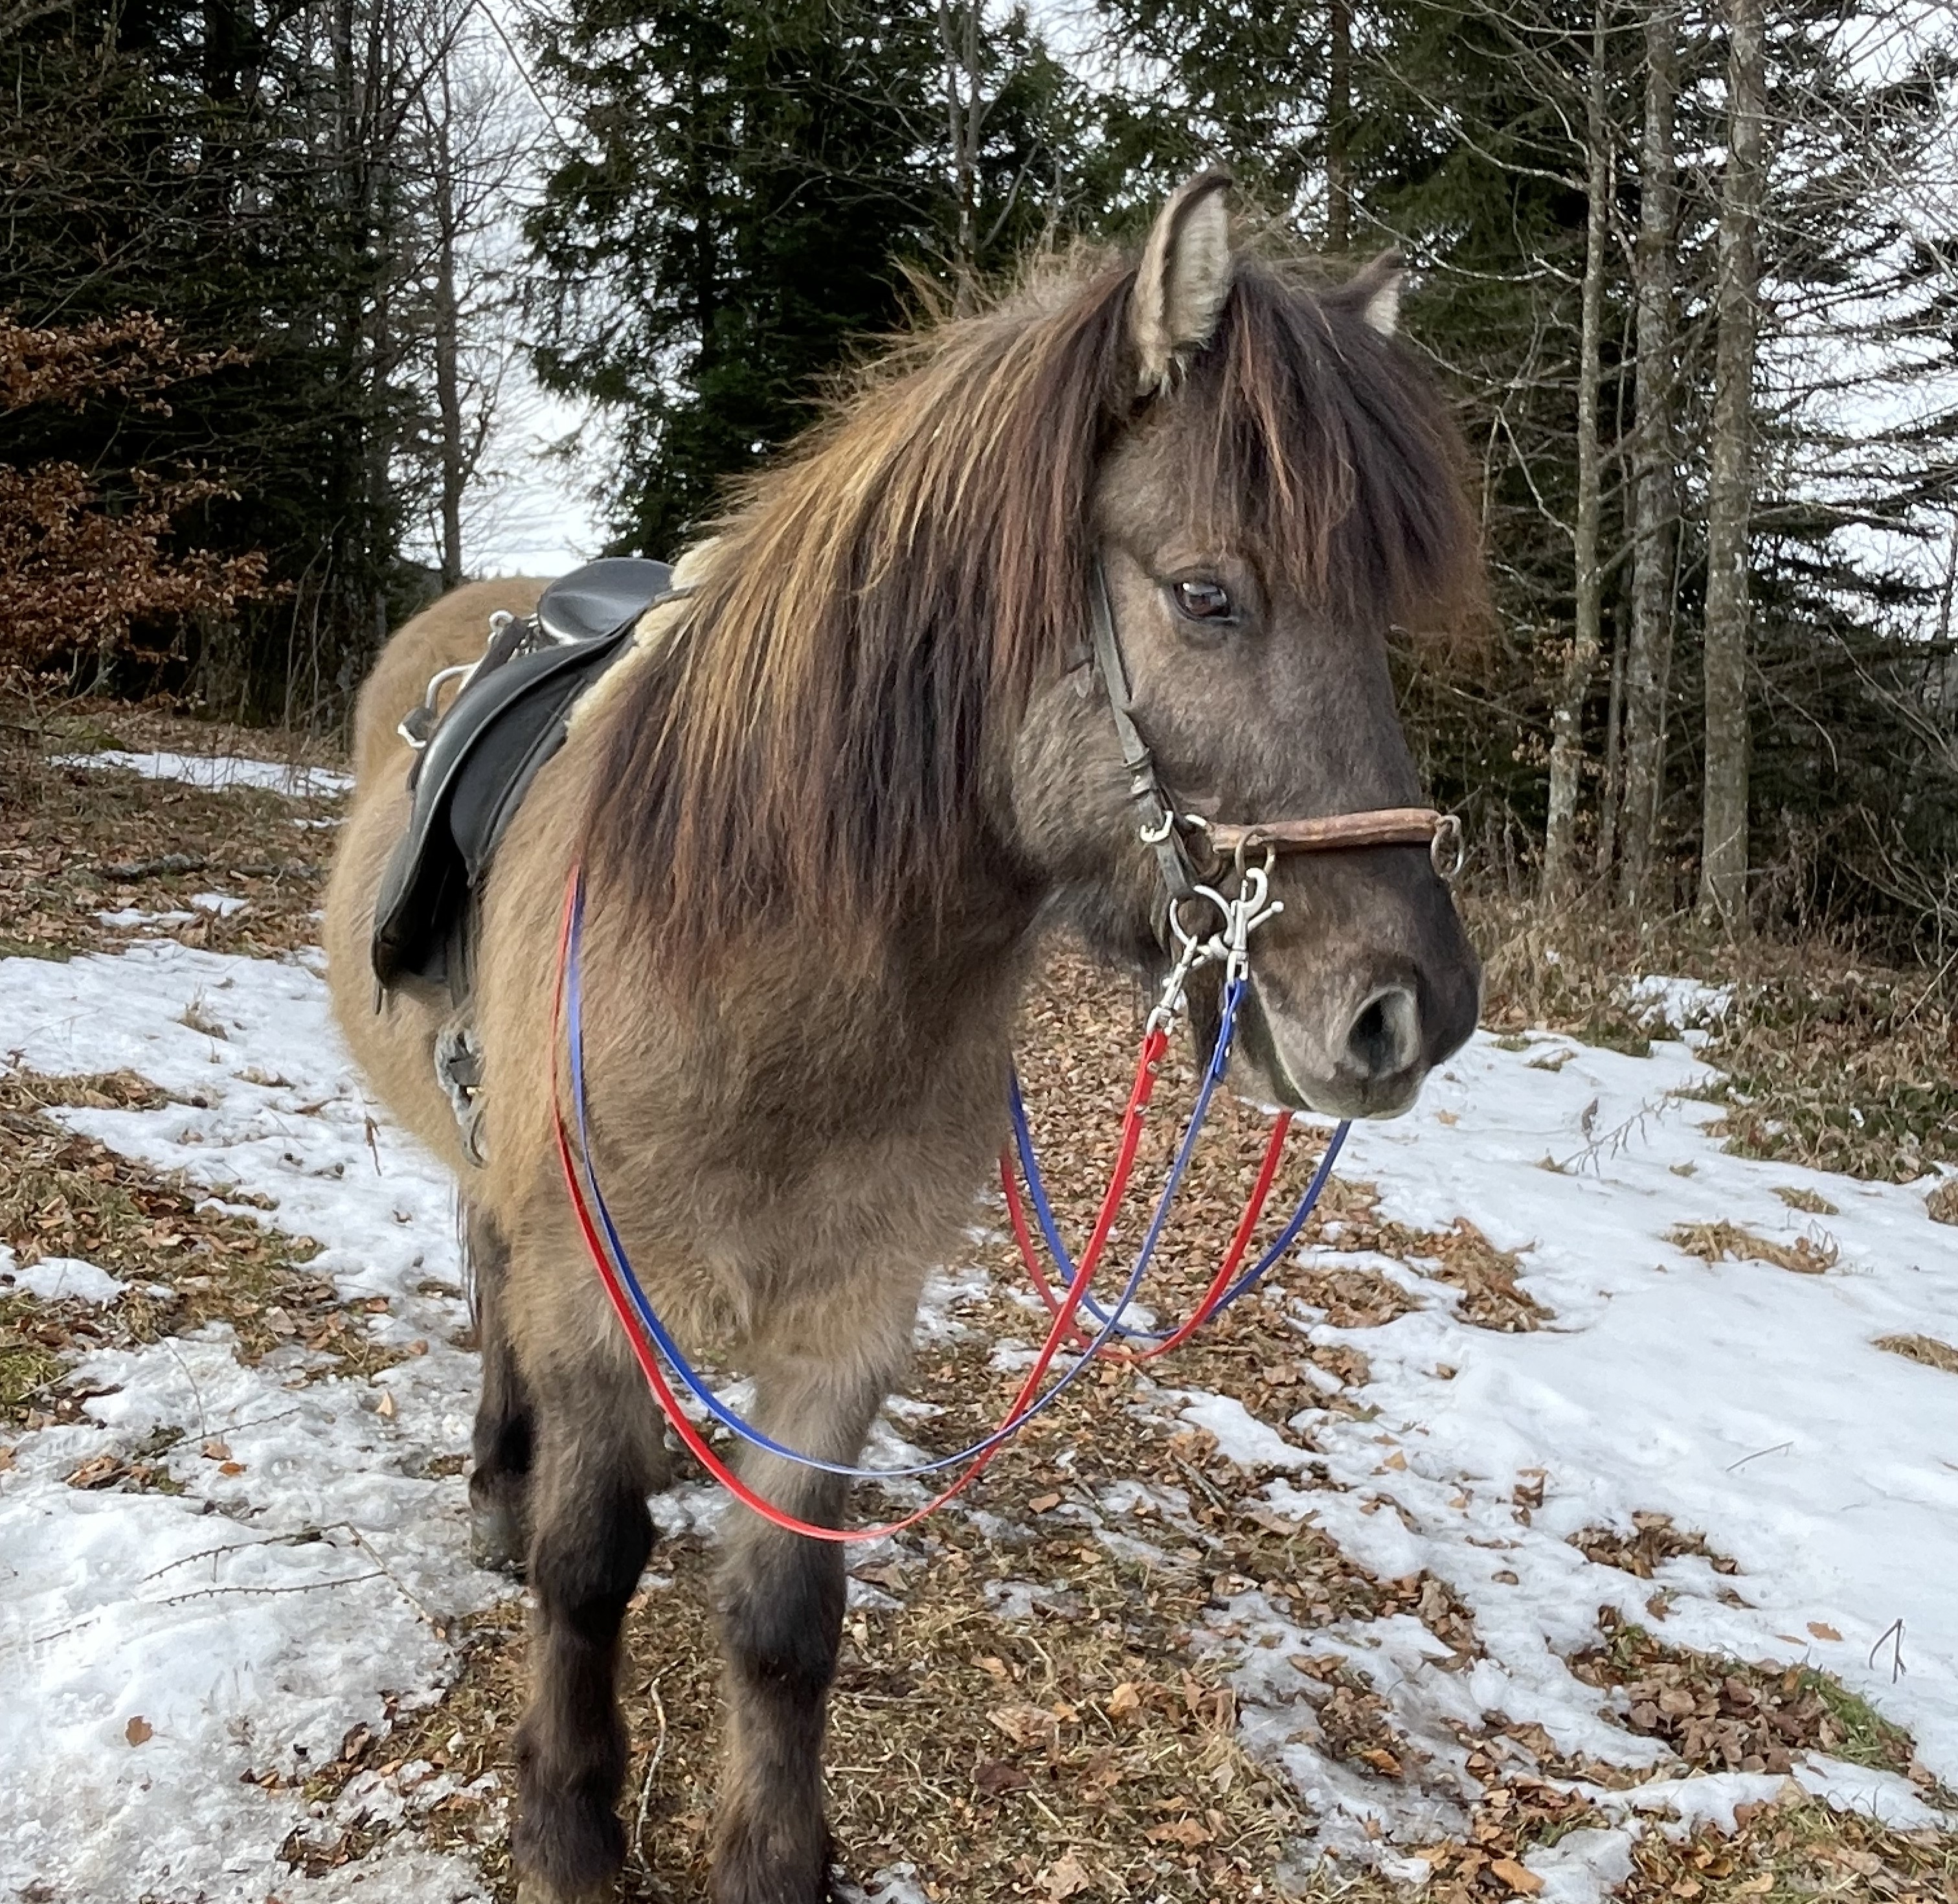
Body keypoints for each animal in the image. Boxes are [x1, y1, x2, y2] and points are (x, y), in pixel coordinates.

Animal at [322, 171, 1484, 1904]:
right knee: (487, 1292)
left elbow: (784, 1622)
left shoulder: (848, 1324)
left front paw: (774, 1860)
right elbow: (587, 1572)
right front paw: (567, 1831)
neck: (764, 993)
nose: (1417, 1008)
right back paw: (494, 1480)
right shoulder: (593, 1291)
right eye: (1208, 596)